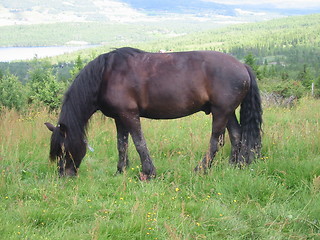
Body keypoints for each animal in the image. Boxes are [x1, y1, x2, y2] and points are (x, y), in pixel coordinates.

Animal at [46, 47, 264, 178]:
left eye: (64, 149)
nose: (64, 175)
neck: (107, 75)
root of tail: (243, 66)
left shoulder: (129, 114)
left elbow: (139, 143)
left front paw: (148, 173)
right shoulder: (119, 118)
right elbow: (122, 145)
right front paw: (120, 171)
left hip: (221, 112)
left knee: (215, 142)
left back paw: (200, 169)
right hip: (228, 112)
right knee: (236, 136)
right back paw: (235, 166)